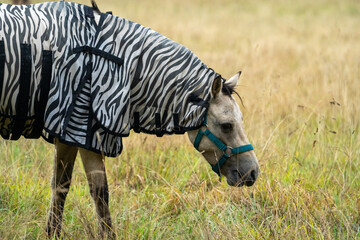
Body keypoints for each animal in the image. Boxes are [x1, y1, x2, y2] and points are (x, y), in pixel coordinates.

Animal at [0, 1, 258, 238]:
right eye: (227, 125)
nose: (253, 173)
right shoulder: (81, 127)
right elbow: (96, 192)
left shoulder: (70, 132)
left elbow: (62, 186)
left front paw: (53, 233)